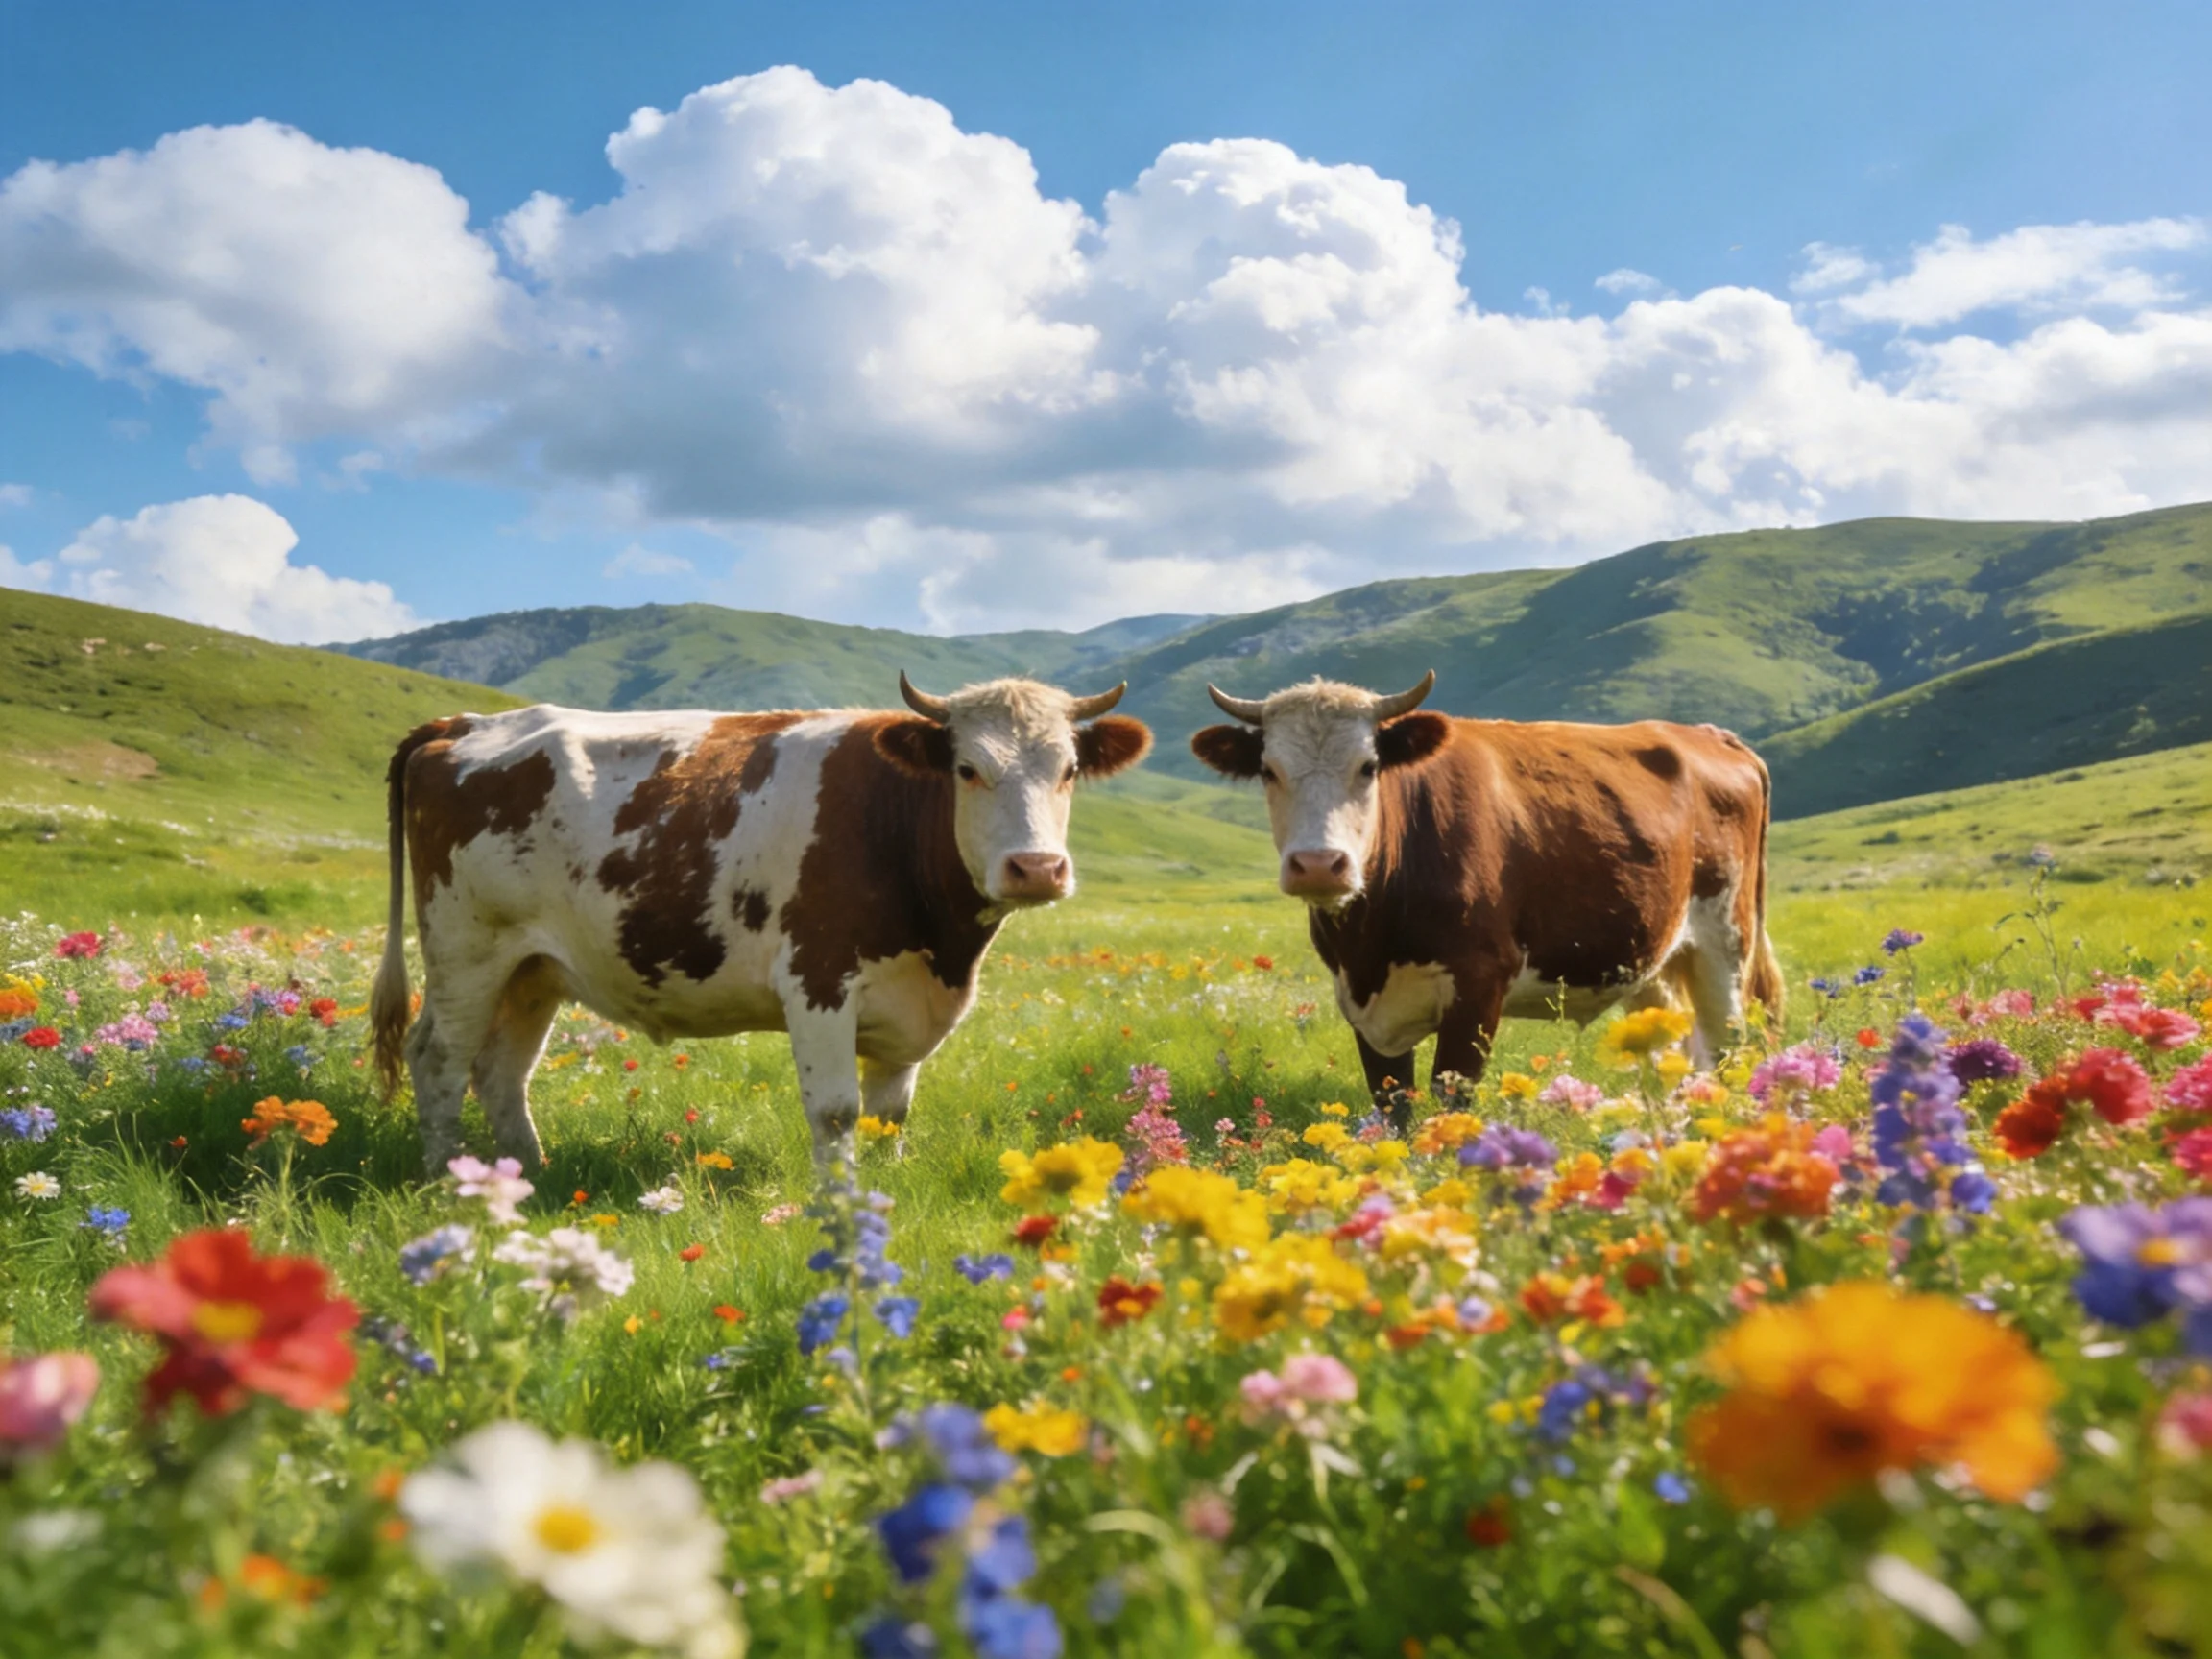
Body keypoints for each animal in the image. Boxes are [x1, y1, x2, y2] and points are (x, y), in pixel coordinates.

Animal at [369, 675, 1152, 1172]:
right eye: (967, 769)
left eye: (1070, 769)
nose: (1037, 868)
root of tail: (464, 724)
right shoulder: (820, 979)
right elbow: (836, 1112)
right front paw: (840, 1209)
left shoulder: (909, 1005)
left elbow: (888, 1116)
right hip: (466, 950)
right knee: (438, 1057)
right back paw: (446, 1180)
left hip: (533, 969)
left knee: (502, 1069)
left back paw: (530, 1174)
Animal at [1190, 672, 1782, 1125]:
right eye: (1269, 771)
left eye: (1368, 766)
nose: (1318, 864)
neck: (1371, 943)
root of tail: (1710, 735)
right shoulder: (1361, 1003)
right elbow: (1393, 1105)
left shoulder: (1478, 983)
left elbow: (1452, 1095)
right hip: (1652, 960)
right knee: (1671, 1051)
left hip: (1726, 942)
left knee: (1727, 1044)